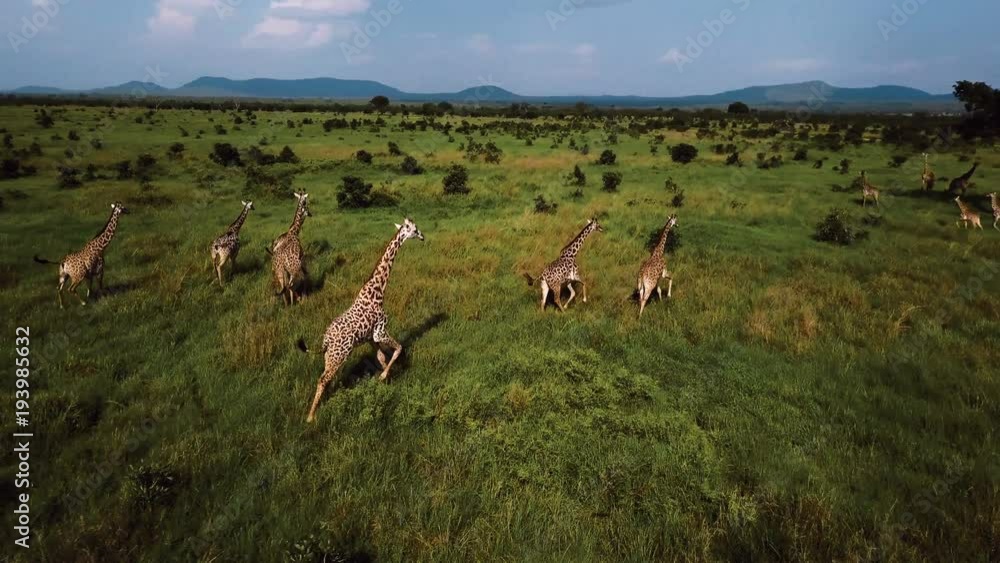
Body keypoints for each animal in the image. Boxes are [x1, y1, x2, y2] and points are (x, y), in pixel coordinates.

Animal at [300, 218, 425, 423]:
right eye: (414, 230)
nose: (423, 236)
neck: (378, 291)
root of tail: (326, 340)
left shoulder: (371, 338)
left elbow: (382, 357)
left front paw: (386, 378)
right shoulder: (381, 331)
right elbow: (398, 349)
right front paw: (384, 376)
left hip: (330, 356)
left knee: (325, 378)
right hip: (339, 355)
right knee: (323, 379)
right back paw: (311, 416)